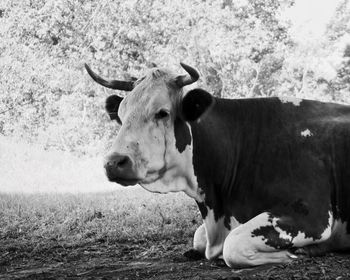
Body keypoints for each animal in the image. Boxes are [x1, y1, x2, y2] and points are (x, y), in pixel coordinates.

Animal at [85, 62, 350, 268]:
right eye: (120, 116)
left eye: (162, 112)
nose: (114, 162)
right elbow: (198, 237)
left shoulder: (313, 215)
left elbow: (232, 247)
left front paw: (298, 253)